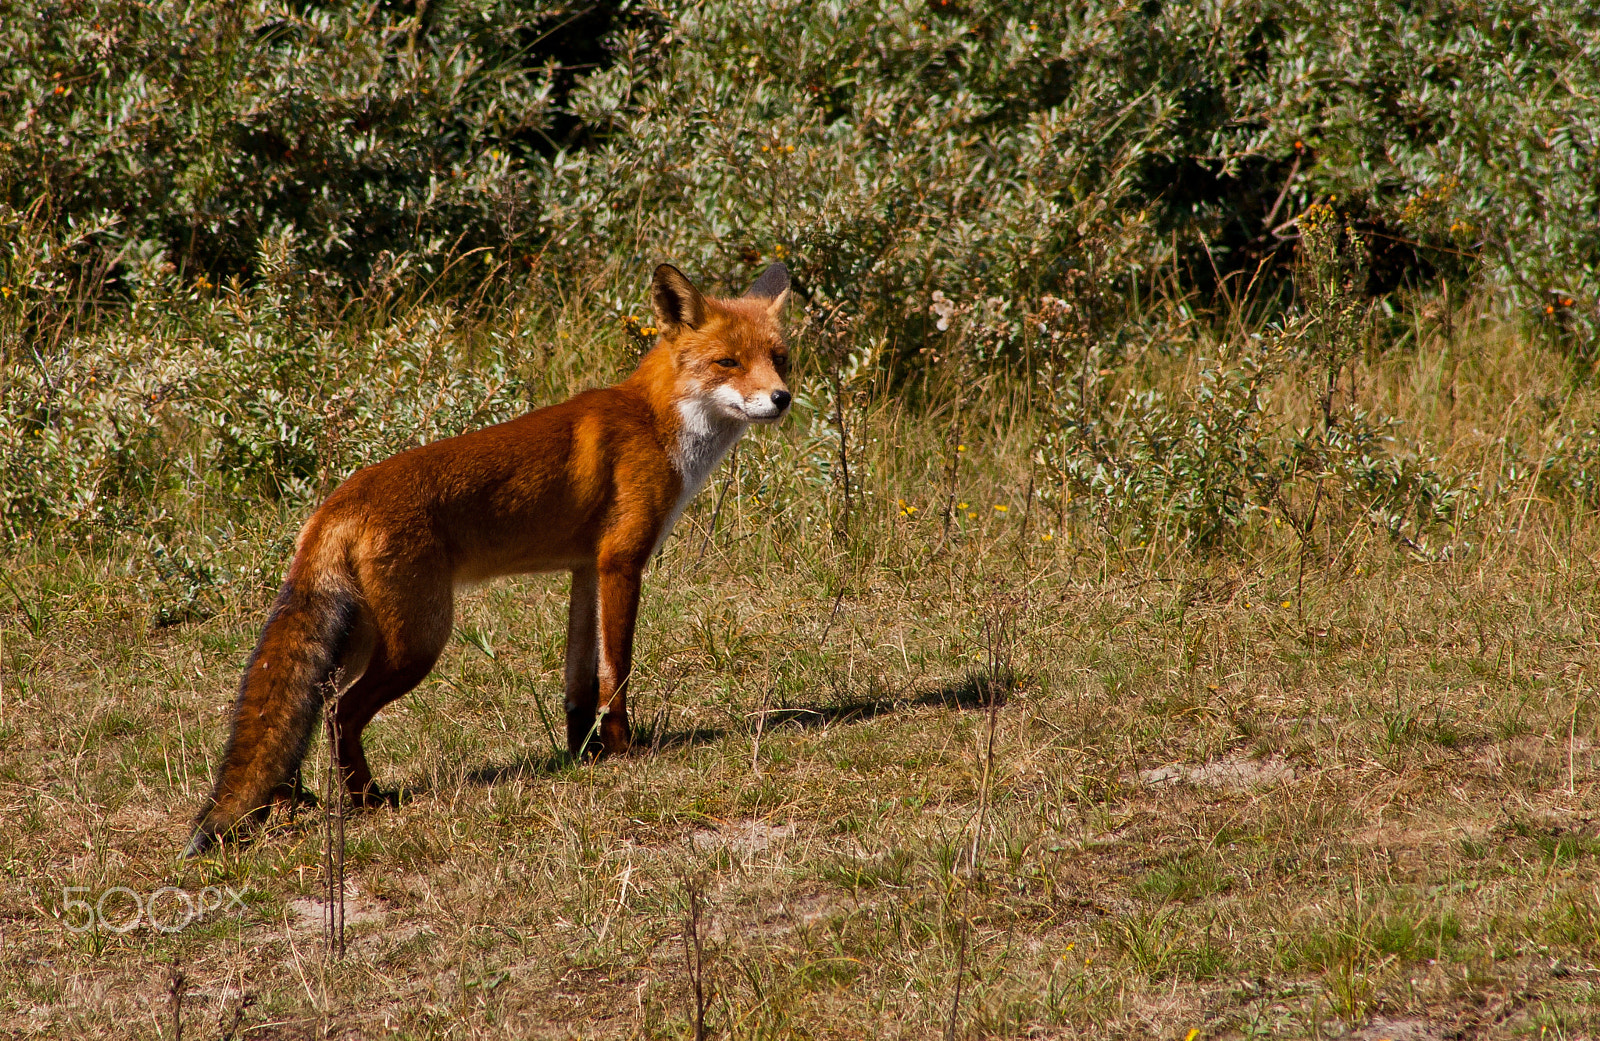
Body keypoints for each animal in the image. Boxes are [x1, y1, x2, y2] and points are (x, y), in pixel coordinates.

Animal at [185, 262, 792, 856]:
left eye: (779, 358)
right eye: (728, 362)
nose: (782, 398)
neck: (656, 422)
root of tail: (335, 503)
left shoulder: (584, 569)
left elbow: (579, 682)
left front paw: (583, 754)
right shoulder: (622, 561)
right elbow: (616, 673)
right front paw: (624, 750)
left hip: (359, 641)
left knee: (308, 709)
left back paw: (290, 801)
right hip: (419, 641)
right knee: (340, 713)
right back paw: (366, 800)